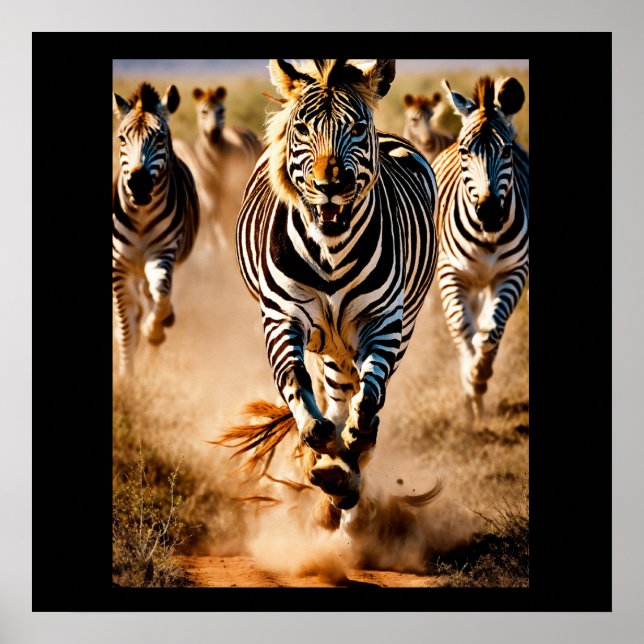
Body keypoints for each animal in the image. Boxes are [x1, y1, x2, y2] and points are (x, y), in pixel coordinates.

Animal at [112, 82, 199, 377]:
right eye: (121, 139)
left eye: (160, 138)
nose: (138, 184)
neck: (141, 216)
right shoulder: (119, 266)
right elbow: (126, 327)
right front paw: (127, 377)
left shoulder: (162, 255)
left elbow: (161, 294)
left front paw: (154, 330)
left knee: (154, 296)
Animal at [173, 86, 263, 253]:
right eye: (203, 112)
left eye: (221, 111)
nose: (214, 134)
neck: (216, 160)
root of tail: (239, 127)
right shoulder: (208, 189)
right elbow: (212, 214)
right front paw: (214, 246)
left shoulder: (233, 186)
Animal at [221, 59, 438, 522]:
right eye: (303, 128)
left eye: (356, 126)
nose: (330, 185)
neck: (332, 251)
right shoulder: (281, 316)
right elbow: (294, 376)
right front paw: (318, 439)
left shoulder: (383, 322)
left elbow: (370, 398)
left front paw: (354, 446)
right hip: (330, 342)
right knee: (333, 393)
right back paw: (333, 465)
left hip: (395, 328)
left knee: (357, 392)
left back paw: (348, 468)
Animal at [432, 76, 529, 422]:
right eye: (465, 151)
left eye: (507, 149)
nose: (488, 212)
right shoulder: (450, 272)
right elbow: (463, 327)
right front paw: (469, 380)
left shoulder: (513, 271)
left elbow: (491, 331)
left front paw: (480, 377)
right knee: (466, 325)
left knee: (486, 324)